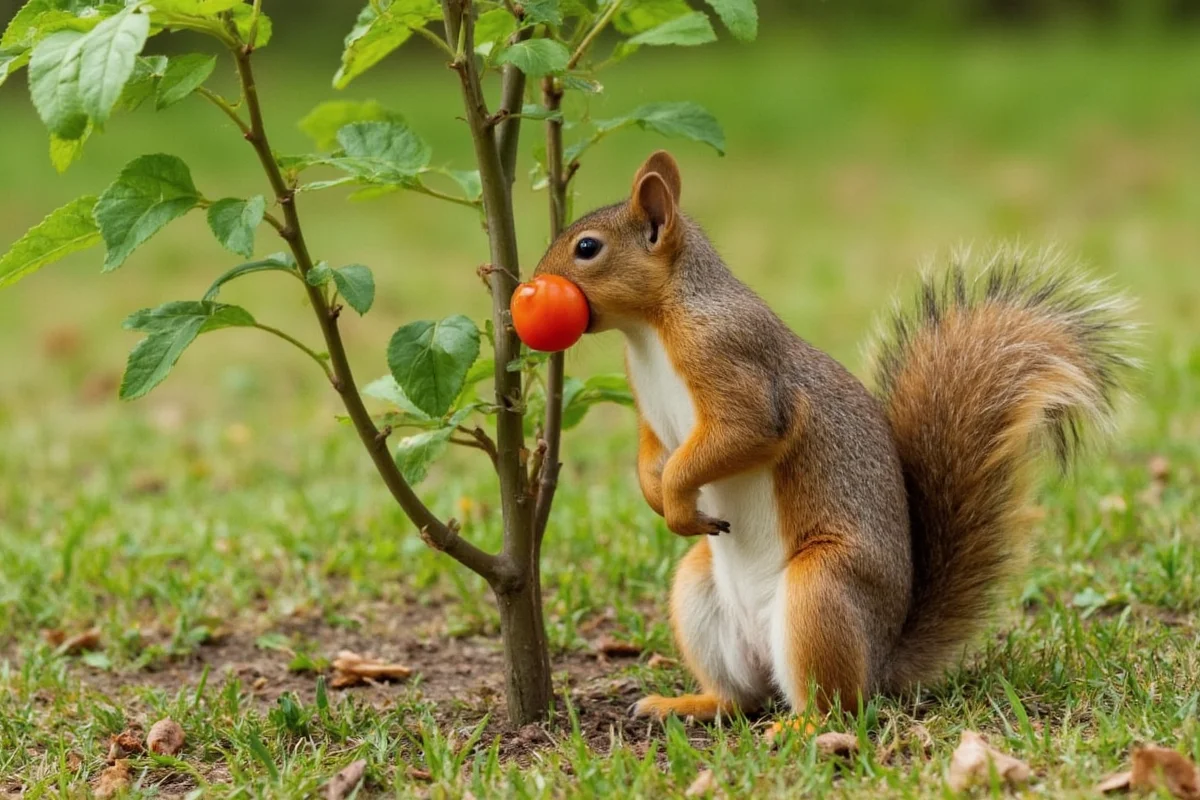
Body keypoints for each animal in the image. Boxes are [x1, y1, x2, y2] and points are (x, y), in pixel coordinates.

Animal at [532, 150, 1134, 734]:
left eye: (587, 247)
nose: (529, 286)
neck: (651, 329)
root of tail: (882, 659)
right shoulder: (653, 417)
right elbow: (652, 456)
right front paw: (658, 498)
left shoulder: (734, 364)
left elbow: (738, 433)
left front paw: (676, 500)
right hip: (698, 591)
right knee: (742, 697)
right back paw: (688, 705)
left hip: (820, 590)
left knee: (837, 705)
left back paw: (799, 730)